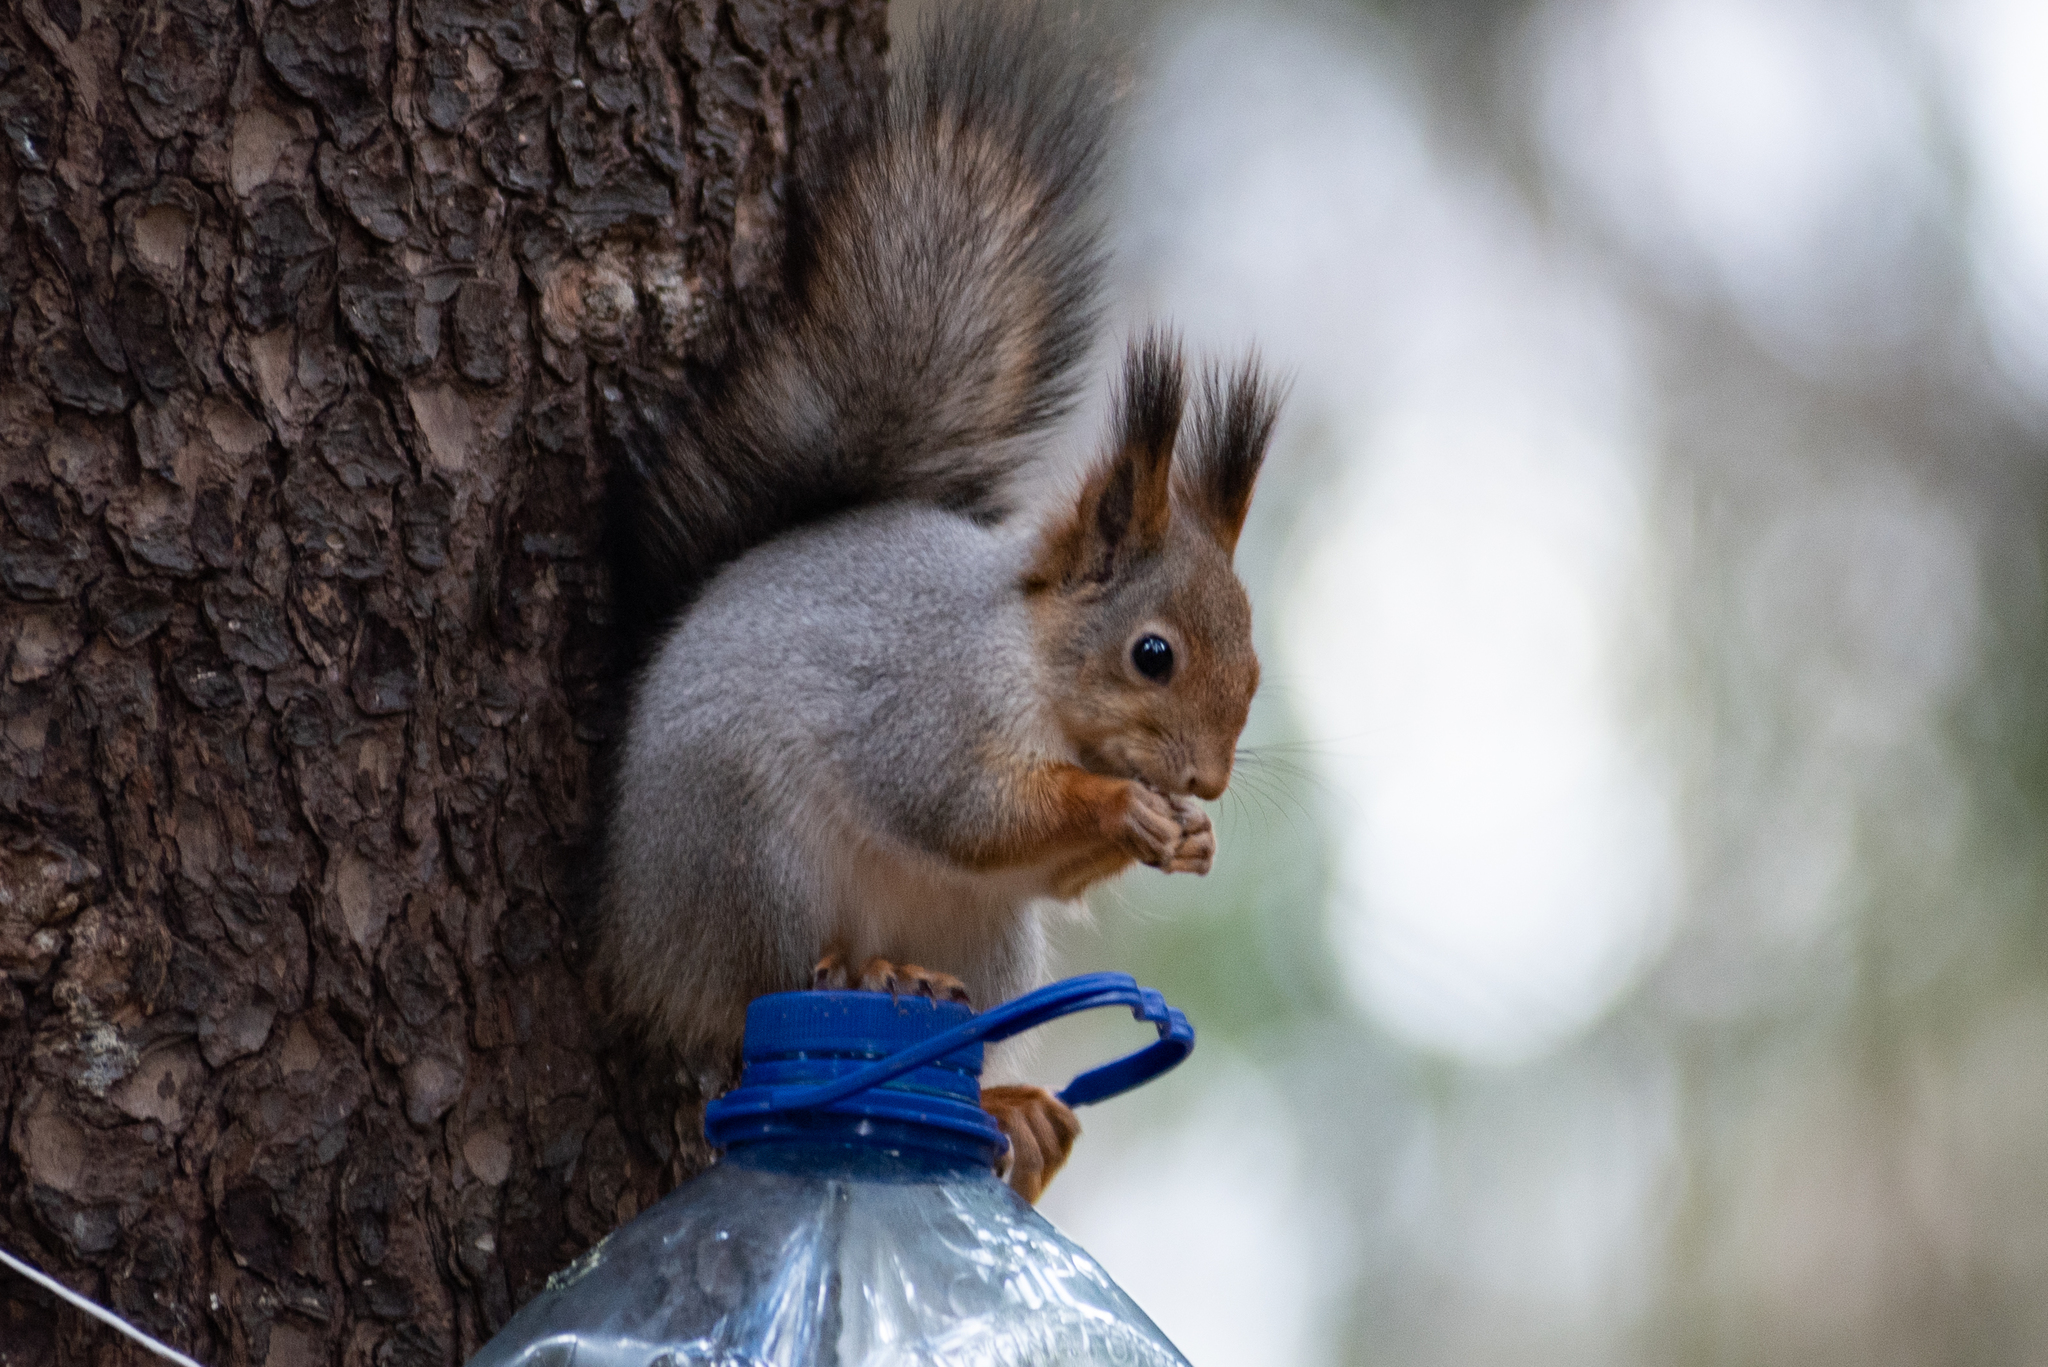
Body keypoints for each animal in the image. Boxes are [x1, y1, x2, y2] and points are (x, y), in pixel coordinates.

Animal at [585, 0, 1277, 1205]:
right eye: (1152, 653)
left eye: (1256, 670)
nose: (1204, 781)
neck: (1031, 658)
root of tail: (641, 934)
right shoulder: (925, 705)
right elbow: (960, 806)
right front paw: (1121, 806)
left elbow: (1040, 864)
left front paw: (1185, 839)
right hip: (747, 856)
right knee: (761, 995)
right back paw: (854, 970)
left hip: (989, 943)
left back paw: (1011, 1112)